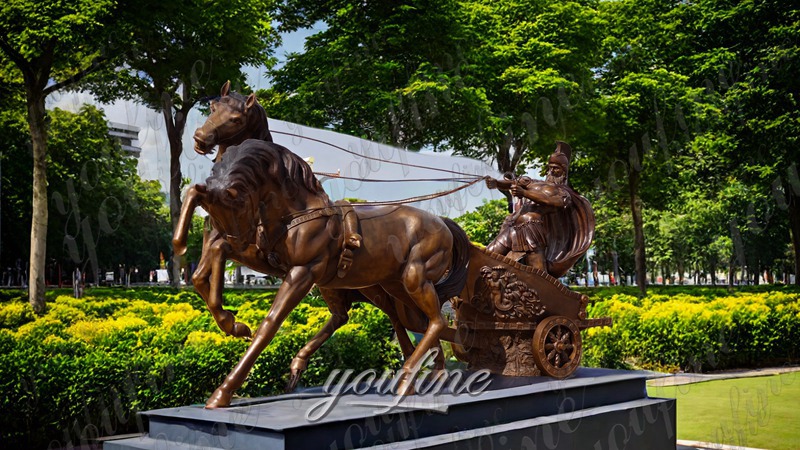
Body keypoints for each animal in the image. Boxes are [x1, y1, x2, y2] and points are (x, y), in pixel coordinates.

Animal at [171, 143, 466, 408]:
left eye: (239, 203)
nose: (241, 237)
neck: (297, 214)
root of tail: (443, 224)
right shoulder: (270, 260)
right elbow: (216, 255)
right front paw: (233, 323)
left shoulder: (303, 270)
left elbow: (270, 324)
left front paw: (222, 392)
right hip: (387, 284)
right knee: (403, 320)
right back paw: (434, 372)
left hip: (413, 277)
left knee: (435, 321)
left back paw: (408, 379)